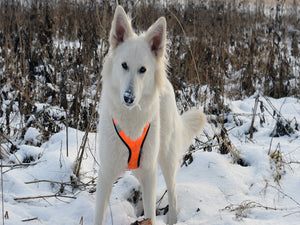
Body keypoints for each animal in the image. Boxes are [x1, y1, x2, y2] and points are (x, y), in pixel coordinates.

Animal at [94, 5, 206, 225]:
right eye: (124, 65)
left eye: (143, 70)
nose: (128, 97)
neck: (131, 120)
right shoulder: (106, 173)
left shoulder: (149, 171)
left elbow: (151, 215)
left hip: (165, 158)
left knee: (173, 192)